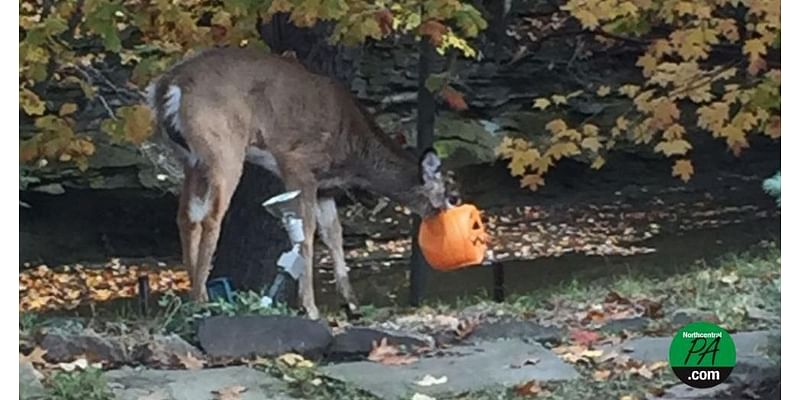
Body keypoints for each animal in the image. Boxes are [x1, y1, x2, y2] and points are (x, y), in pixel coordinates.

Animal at [147, 47, 460, 318]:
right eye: (452, 196)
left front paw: (352, 304)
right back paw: (202, 300)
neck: (352, 152)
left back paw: (191, 296)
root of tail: (169, 86)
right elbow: (306, 234)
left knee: (187, 216)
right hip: (224, 149)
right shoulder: (297, 165)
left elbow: (334, 234)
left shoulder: (324, 187)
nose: (449, 223)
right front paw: (310, 308)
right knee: (212, 216)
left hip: (191, 159)